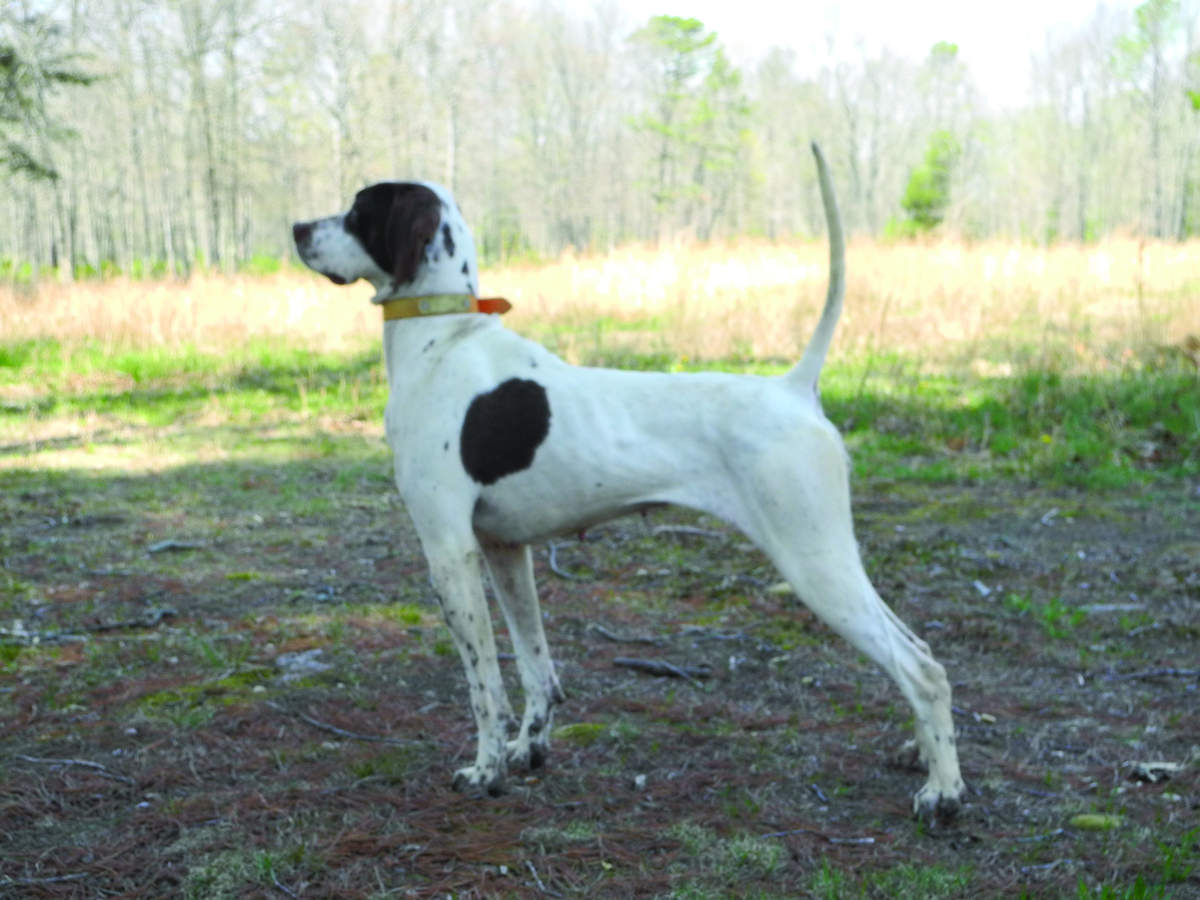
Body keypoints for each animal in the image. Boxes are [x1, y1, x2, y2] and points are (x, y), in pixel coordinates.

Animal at [290, 142, 964, 825]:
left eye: (358, 209)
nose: (295, 228)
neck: (444, 339)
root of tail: (794, 388)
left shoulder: (448, 551)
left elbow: (485, 686)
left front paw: (485, 770)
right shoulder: (506, 551)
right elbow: (536, 669)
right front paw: (526, 750)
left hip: (814, 563)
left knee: (922, 670)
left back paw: (944, 792)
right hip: (831, 559)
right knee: (922, 650)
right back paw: (922, 753)